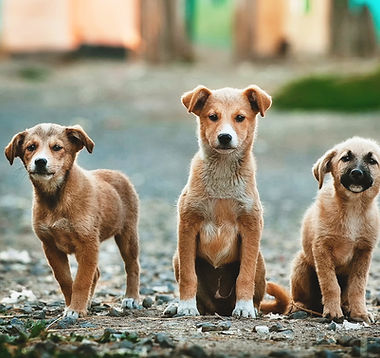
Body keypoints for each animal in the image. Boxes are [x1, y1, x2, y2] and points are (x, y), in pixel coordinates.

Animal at [4, 124, 141, 318]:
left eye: (57, 147)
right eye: (31, 147)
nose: (40, 162)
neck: (55, 198)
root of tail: (118, 174)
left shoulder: (88, 244)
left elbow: (82, 280)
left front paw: (76, 309)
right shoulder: (50, 247)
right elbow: (66, 280)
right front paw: (72, 305)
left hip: (127, 235)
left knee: (132, 266)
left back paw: (131, 298)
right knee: (96, 273)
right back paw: (89, 302)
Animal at [168, 85, 290, 318]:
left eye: (240, 118)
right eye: (212, 117)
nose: (225, 137)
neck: (223, 174)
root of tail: (220, 308)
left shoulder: (251, 227)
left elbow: (245, 276)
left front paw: (244, 307)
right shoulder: (187, 226)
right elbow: (189, 276)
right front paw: (186, 306)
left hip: (260, 261)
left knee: (256, 292)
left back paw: (251, 306)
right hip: (177, 257)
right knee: (200, 297)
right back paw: (177, 306)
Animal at [290, 136, 380, 322]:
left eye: (372, 161)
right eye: (345, 158)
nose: (357, 173)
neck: (353, 209)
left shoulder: (364, 252)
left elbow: (358, 286)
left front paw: (360, 312)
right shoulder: (322, 248)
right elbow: (330, 284)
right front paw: (332, 311)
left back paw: (347, 307)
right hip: (301, 265)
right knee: (299, 298)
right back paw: (300, 308)